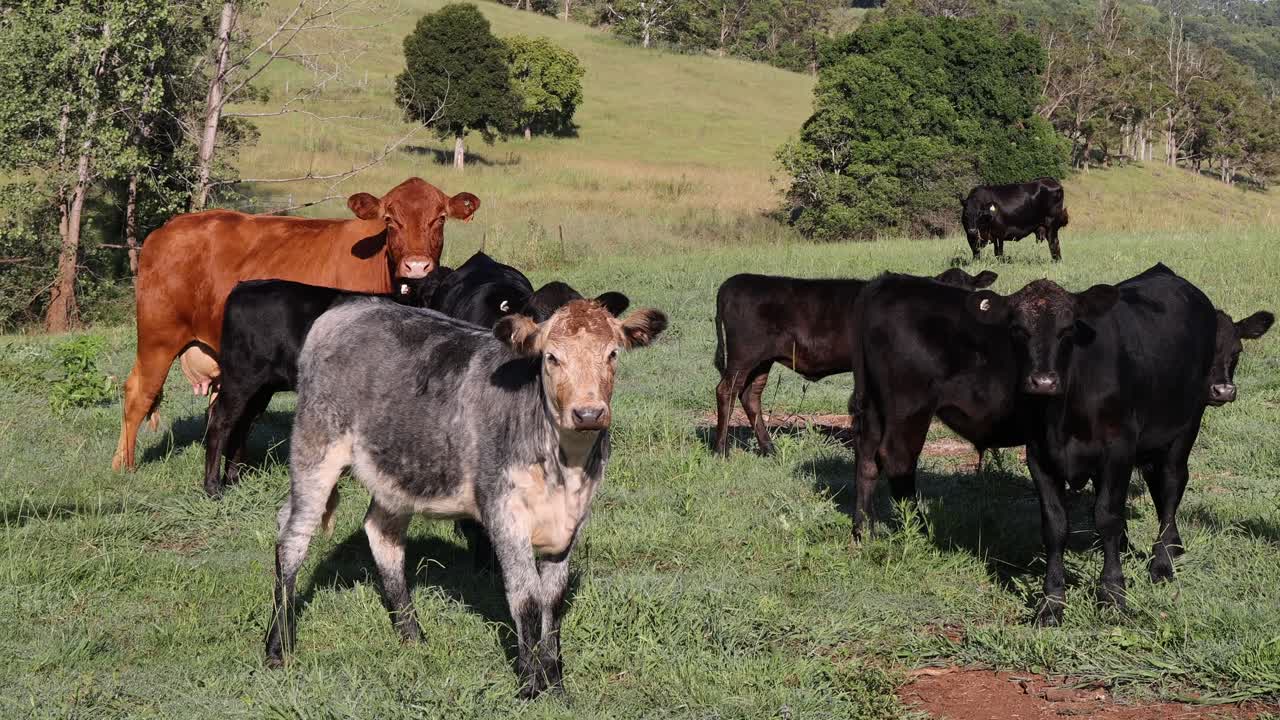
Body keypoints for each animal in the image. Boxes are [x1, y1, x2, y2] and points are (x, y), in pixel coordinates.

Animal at [112, 178, 480, 472]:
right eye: (391, 219)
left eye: (440, 218)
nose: (417, 266)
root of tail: (168, 228)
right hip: (158, 336)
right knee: (140, 394)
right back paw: (124, 465)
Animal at [264, 298, 667, 698]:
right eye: (551, 357)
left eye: (612, 353)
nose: (588, 413)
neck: (565, 468)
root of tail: (348, 307)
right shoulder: (504, 512)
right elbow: (527, 598)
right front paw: (530, 685)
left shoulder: (572, 521)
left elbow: (553, 601)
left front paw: (555, 682)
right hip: (315, 448)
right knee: (292, 536)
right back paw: (277, 646)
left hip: (398, 471)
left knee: (382, 534)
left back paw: (412, 635)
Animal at [712, 268, 998, 457]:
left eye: (971, 294)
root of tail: (735, 281)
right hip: (743, 354)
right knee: (726, 391)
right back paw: (721, 450)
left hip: (762, 360)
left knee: (750, 396)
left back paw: (768, 448)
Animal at [965, 264, 1218, 626]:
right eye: (1017, 329)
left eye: (1068, 329)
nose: (1043, 381)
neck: (1061, 413)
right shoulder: (1039, 456)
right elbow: (1055, 526)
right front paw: (1051, 602)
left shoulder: (1119, 449)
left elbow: (1107, 516)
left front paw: (1112, 593)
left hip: (1186, 422)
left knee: (1171, 485)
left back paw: (1163, 561)